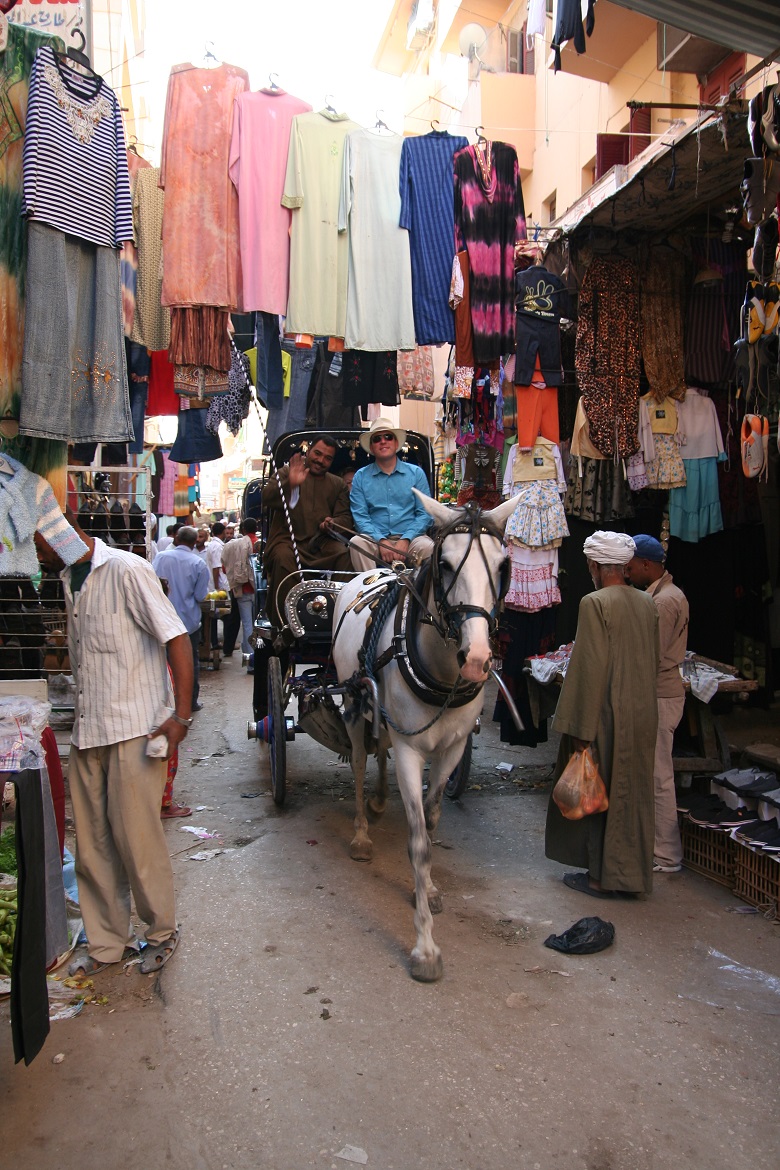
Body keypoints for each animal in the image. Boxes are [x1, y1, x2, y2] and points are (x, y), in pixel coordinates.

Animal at [332, 489, 519, 982]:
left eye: (503, 565)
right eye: (446, 564)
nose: (477, 660)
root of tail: (377, 569)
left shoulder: (451, 748)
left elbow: (433, 819)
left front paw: (430, 889)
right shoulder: (411, 751)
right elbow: (417, 840)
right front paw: (426, 948)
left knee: (378, 749)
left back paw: (380, 800)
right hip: (353, 703)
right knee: (359, 761)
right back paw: (362, 832)